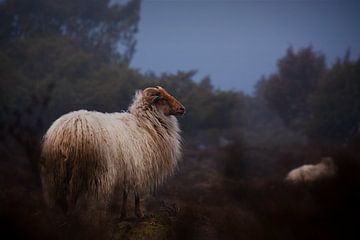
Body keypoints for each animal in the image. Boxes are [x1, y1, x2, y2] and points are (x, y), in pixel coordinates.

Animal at [40, 86, 186, 218]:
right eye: (163, 99)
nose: (182, 109)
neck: (146, 125)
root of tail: (68, 132)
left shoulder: (129, 168)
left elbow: (125, 192)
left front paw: (123, 214)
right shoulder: (140, 167)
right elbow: (137, 193)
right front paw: (139, 214)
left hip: (57, 172)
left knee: (62, 197)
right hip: (88, 170)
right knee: (76, 197)